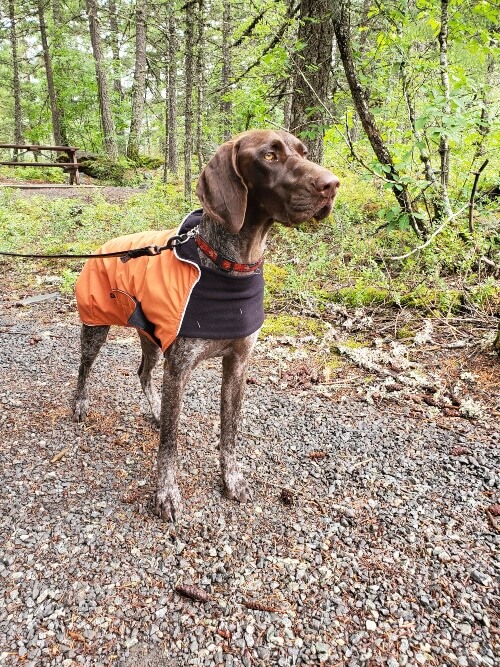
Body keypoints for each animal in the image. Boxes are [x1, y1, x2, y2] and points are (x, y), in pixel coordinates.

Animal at [73, 132, 340, 520]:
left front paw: (231, 479)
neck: (232, 263)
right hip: (97, 327)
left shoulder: (237, 364)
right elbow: (169, 444)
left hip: (151, 336)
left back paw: (155, 409)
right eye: (269, 155)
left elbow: (229, 433)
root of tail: (104, 246)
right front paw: (166, 494)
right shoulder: (179, 367)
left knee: (142, 372)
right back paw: (80, 404)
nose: (332, 184)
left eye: (304, 152)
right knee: (84, 368)